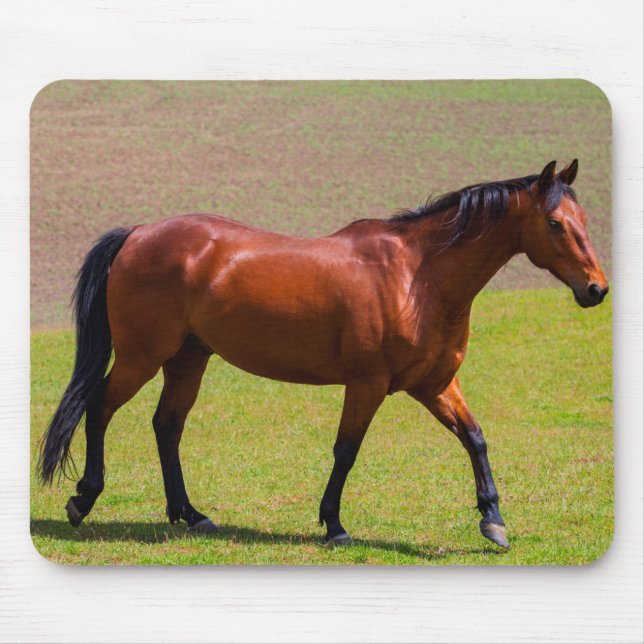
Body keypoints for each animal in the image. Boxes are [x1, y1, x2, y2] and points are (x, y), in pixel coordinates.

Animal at [38, 159, 608, 549]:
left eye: (581, 215)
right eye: (555, 223)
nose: (596, 289)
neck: (418, 276)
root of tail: (138, 233)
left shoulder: (434, 384)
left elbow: (475, 438)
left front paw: (493, 520)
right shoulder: (368, 384)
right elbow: (347, 451)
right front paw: (333, 524)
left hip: (188, 359)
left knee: (167, 425)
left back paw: (190, 513)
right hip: (143, 356)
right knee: (100, 409)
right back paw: (83, 498)